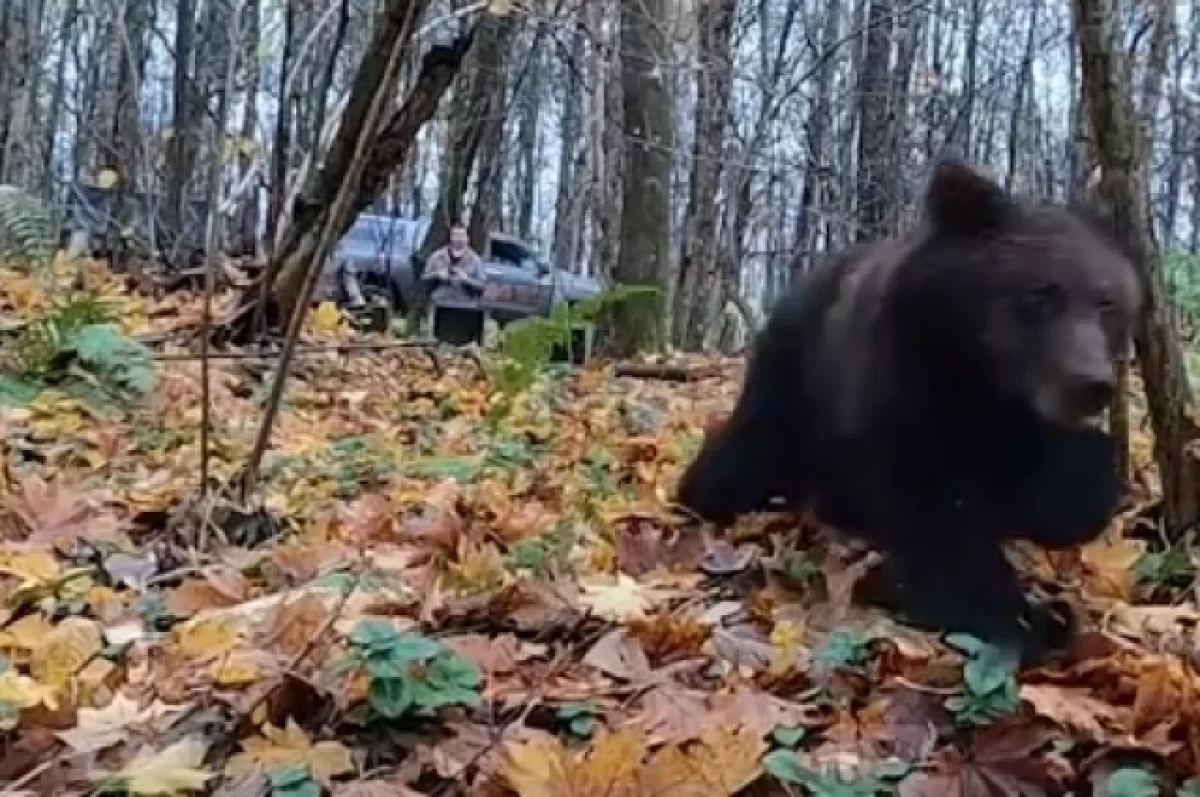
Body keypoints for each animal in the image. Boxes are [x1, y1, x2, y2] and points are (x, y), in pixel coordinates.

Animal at [674, 159, 1143, 665]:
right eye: (1042, 294)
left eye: (1107, 301)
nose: (1091, 384)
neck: (979, 378)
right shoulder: (905, 388)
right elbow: (937, 518)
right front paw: (1019, 619)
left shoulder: (1017, 424)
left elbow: (1056, 492)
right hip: (792, 374)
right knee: (746, 455)